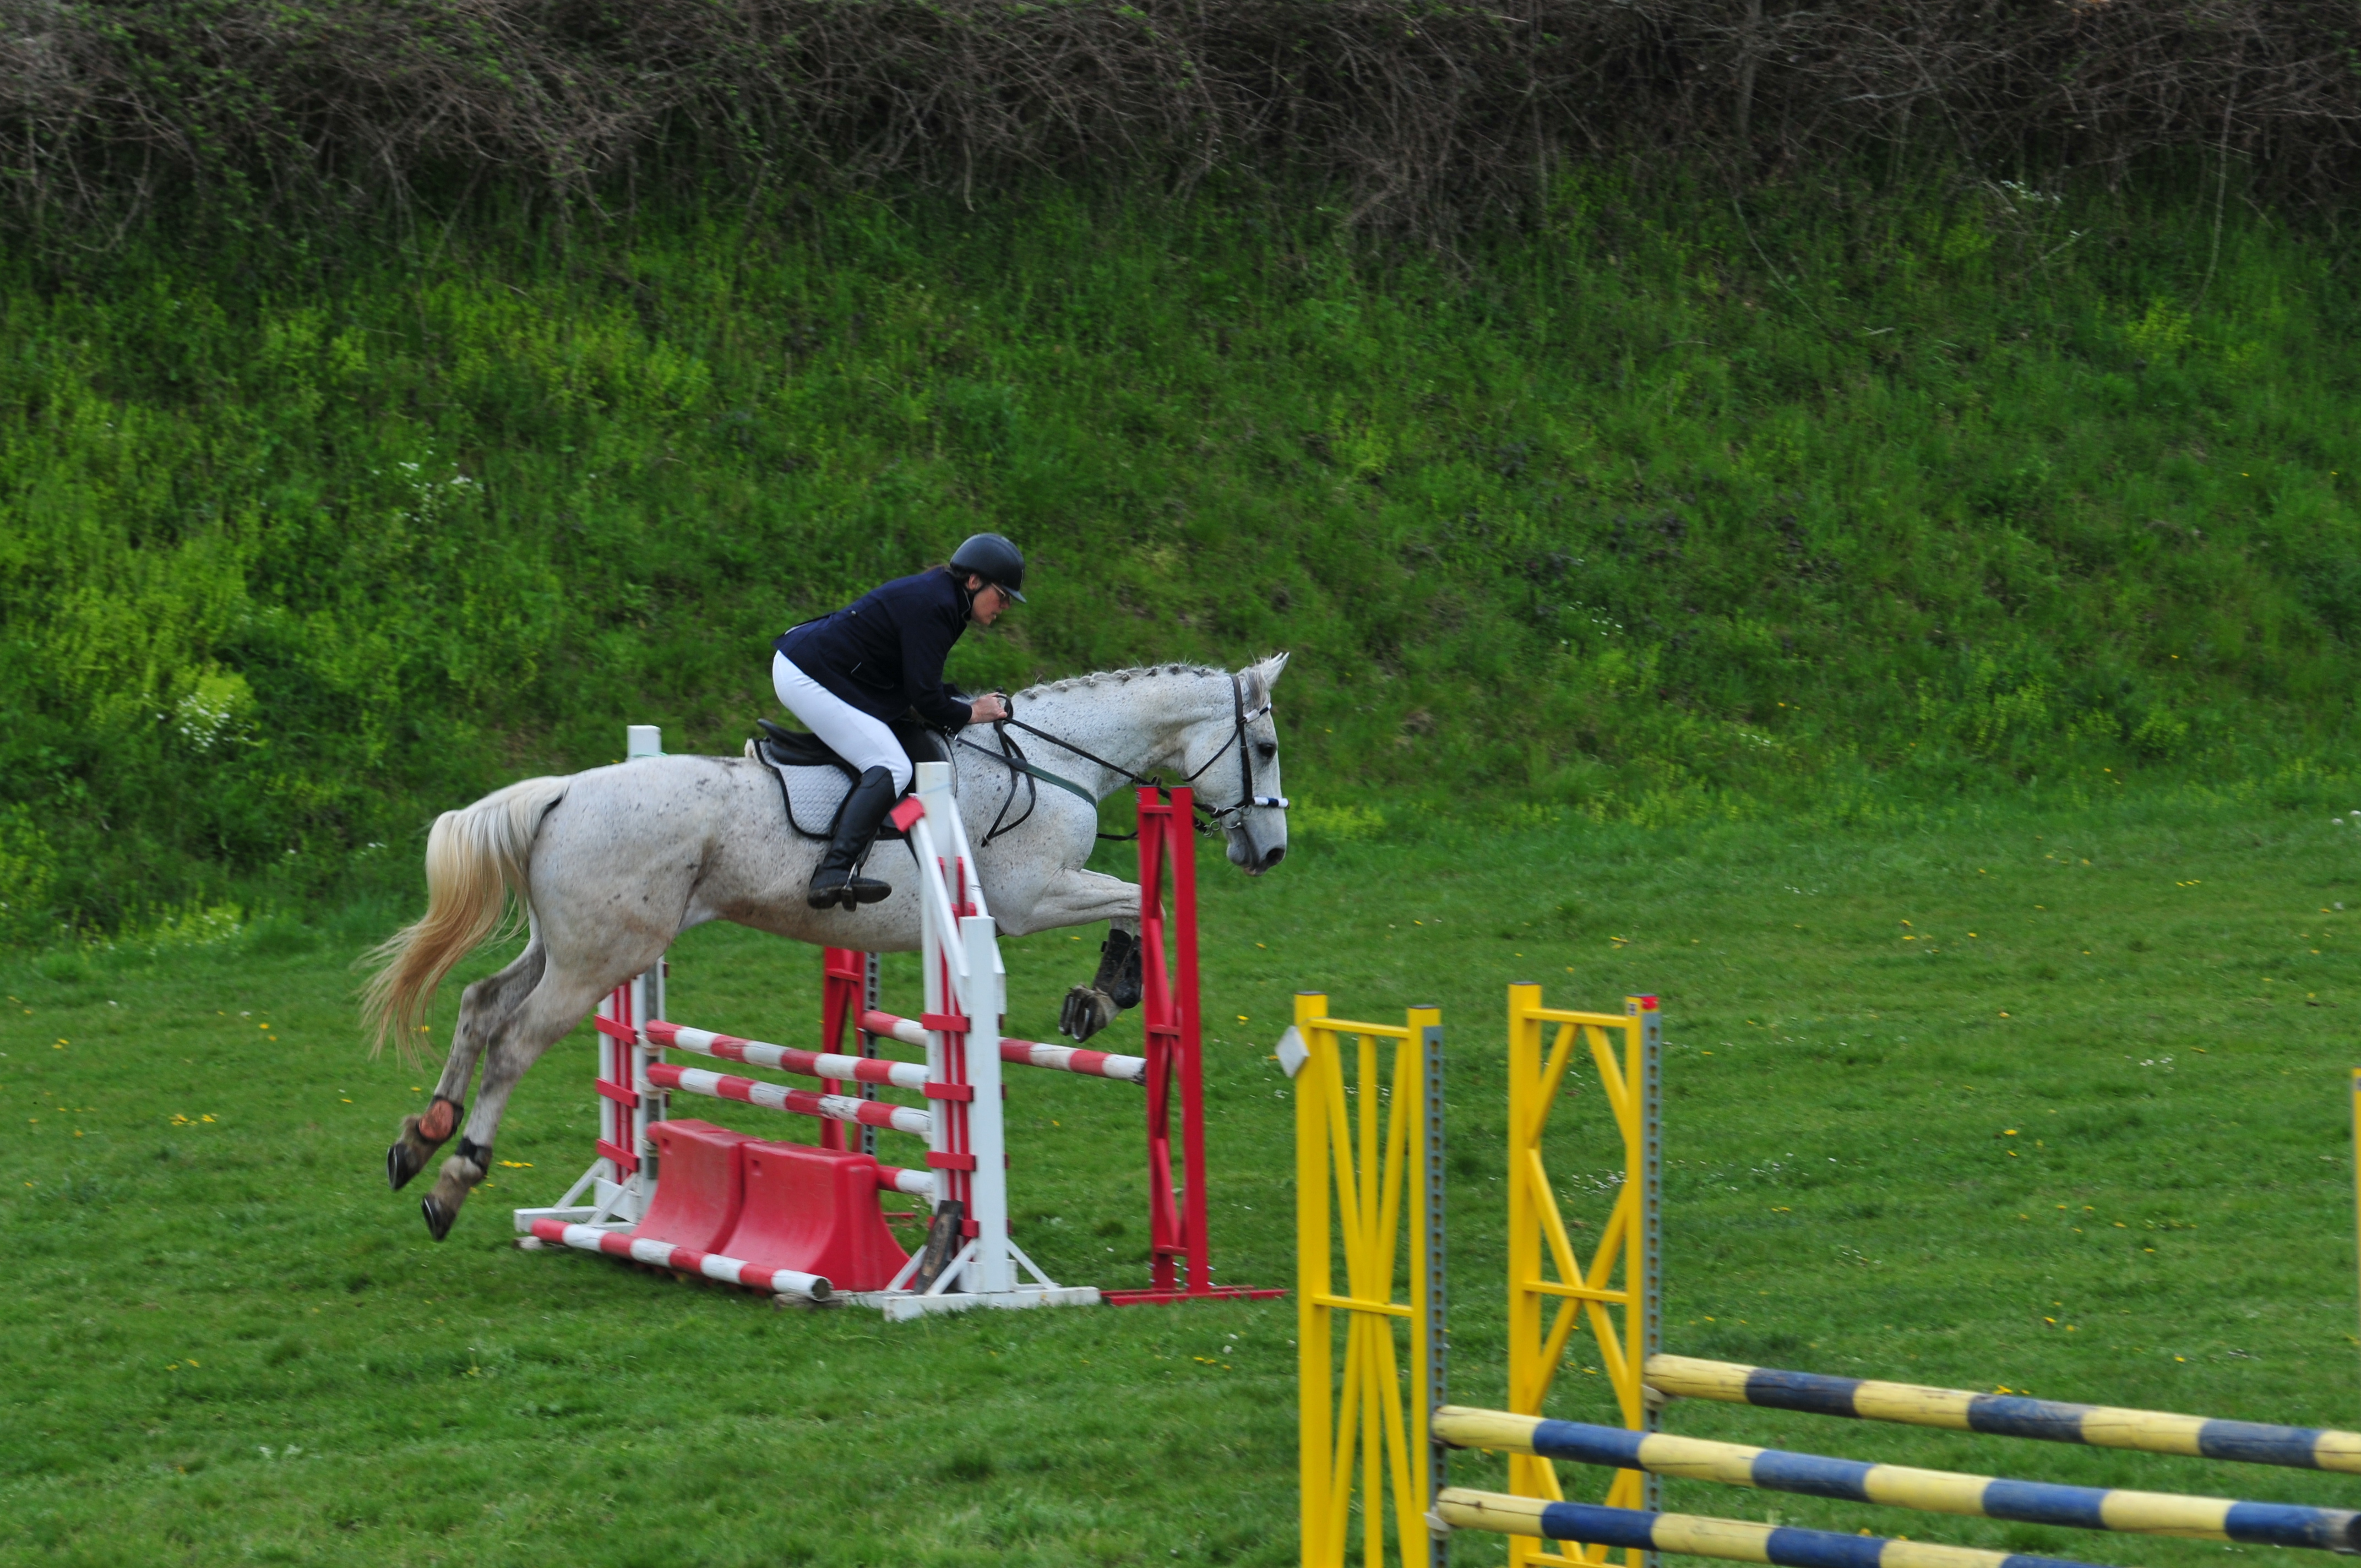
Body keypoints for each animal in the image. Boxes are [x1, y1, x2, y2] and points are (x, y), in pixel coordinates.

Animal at [363, 654, 1291, 1241]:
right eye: (1267, 747)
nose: (1271, 853)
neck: (1053, 760)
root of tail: (560, 792)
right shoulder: (1029, 900)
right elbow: (1144, 898)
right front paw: (1100, 996)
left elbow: (1142, 901)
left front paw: (1098, 997)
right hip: (605, 957)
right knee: (516, 1040)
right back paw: (453, 1181)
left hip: (571, 945)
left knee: (481, 1005)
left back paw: (419, 1139)